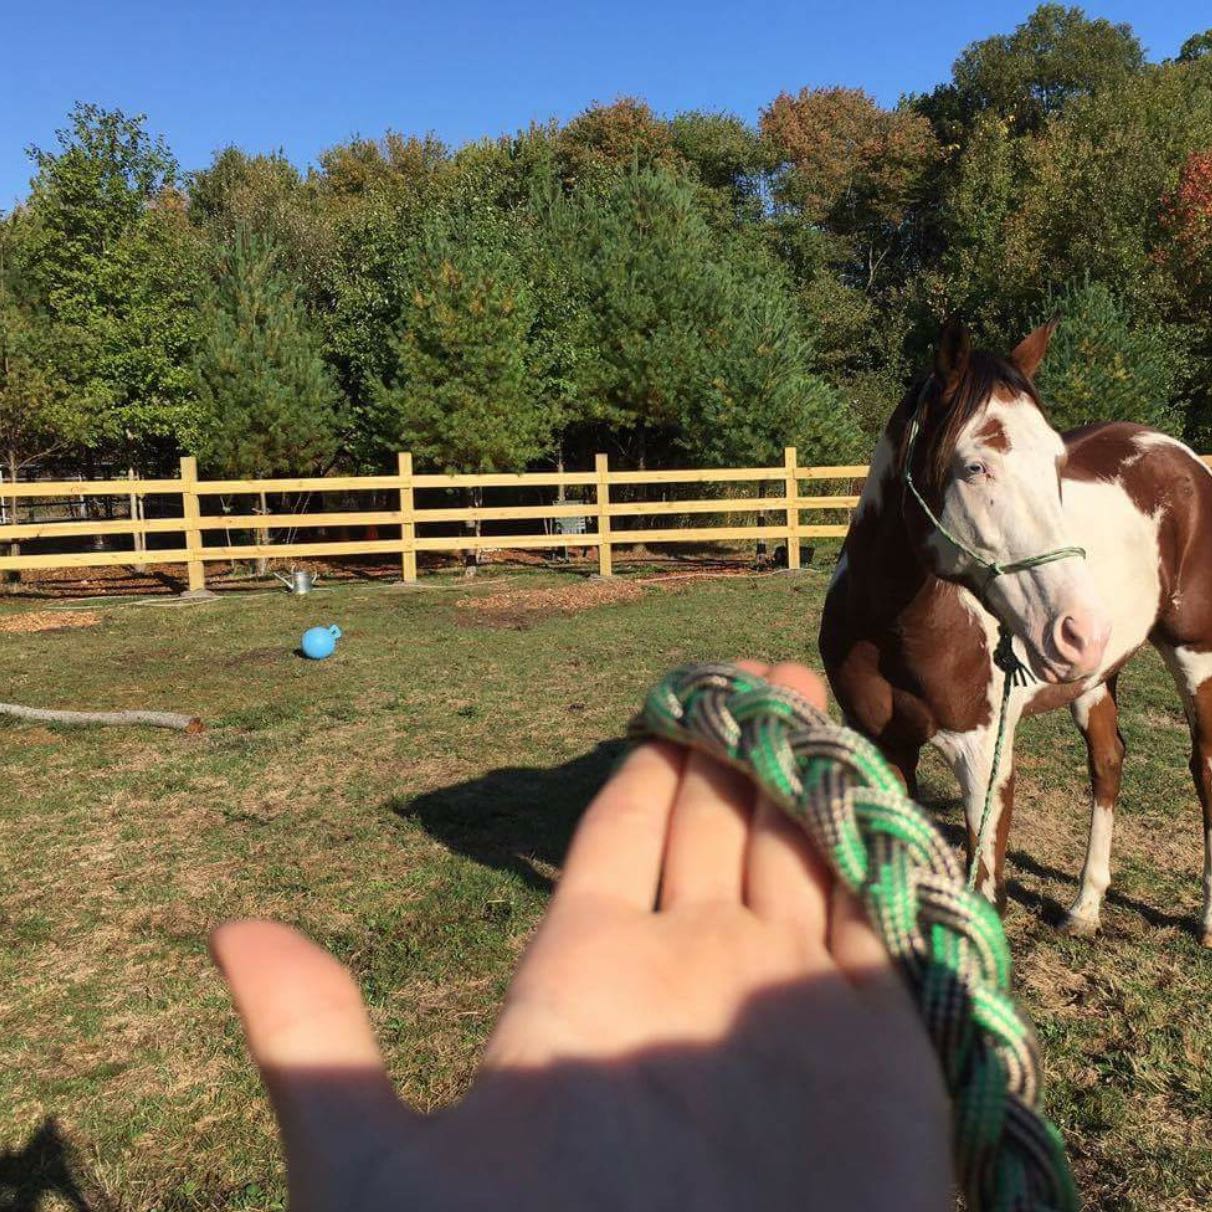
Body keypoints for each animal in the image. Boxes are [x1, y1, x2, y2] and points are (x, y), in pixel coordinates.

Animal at [819, 319, 1212, 945]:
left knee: (1204, 770)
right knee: (1108, 762)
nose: (1081, 627)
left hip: (1195, 655)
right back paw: (1085, 908)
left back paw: (1206, 921)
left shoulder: (982, 753)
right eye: (974, 466)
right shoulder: (882, 743)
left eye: (1056, 463)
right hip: (1095, 678)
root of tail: (1182, 457)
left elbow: (984, 896)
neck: (894, 630)